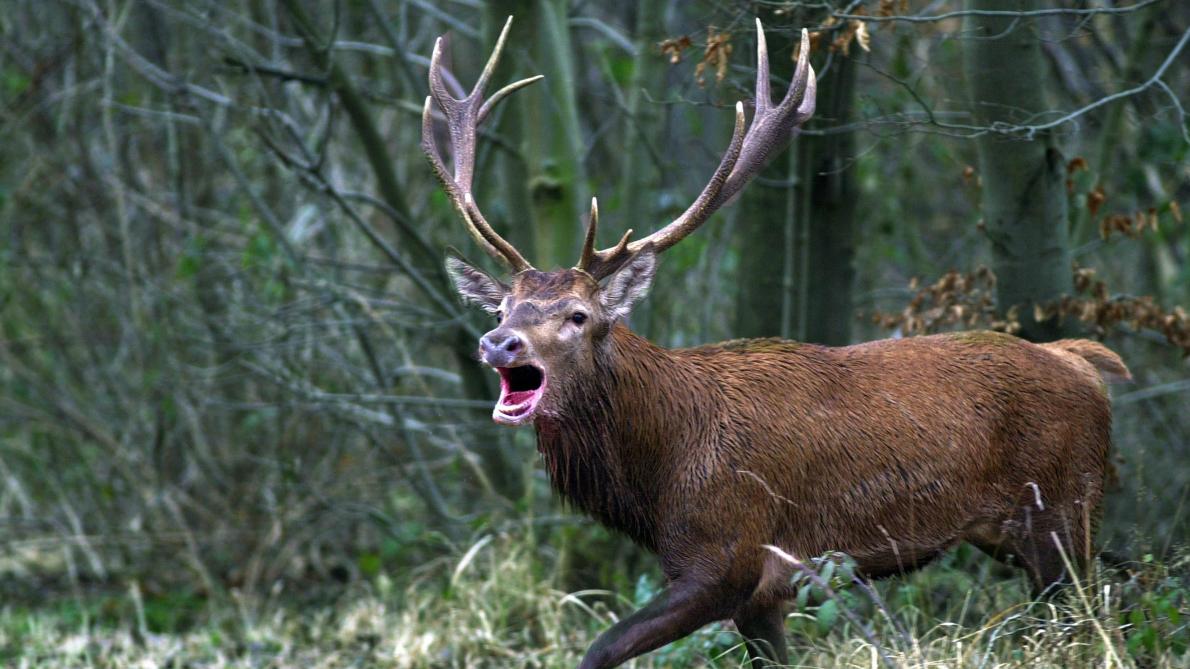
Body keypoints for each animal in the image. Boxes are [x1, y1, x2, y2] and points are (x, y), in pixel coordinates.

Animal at [421, 16, 1132, 666]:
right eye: (505, 305)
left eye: (577, 314)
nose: (499, 343)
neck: (659, 472)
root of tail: (1082, 362)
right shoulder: (761, 595)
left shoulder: (729, 556)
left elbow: (598, 649)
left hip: (1063, 515)